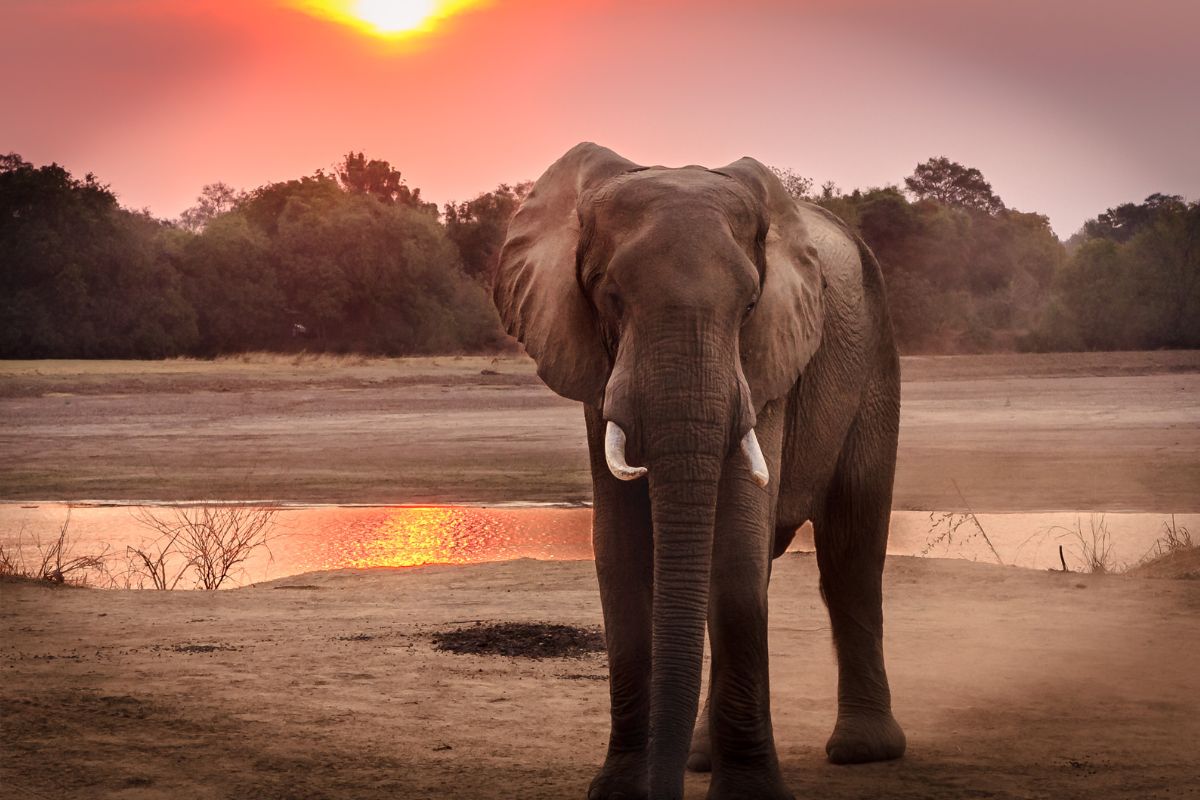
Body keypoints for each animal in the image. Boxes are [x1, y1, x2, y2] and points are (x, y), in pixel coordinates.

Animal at [492, 143, 905, 799]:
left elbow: (734, 547)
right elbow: (621, 550)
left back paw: (863, 751)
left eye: (751, 306)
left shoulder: (767, 360)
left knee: (851, 553)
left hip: (876, 359)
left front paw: (749, 796)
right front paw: (620, 791)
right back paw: (702, 758)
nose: (659, 791)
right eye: (609, 298)